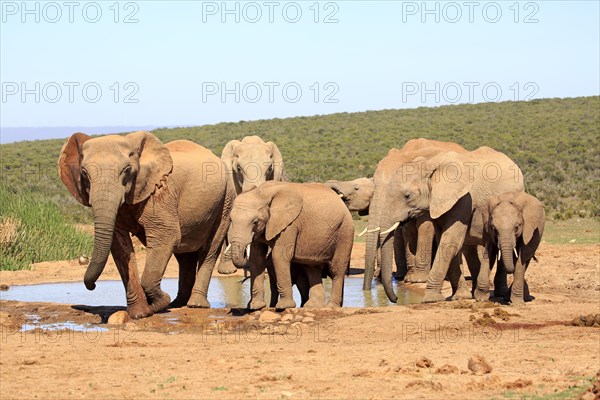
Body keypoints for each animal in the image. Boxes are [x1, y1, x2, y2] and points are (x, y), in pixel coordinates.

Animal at [57, 131, 233, 318]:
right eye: (84, 173)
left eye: (127, 170)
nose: (93, 286)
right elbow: (120, 246)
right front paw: (140, 314)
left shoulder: (160, 193)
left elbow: (166, 235)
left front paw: (158, 304)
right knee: (184, 255)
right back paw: (177, 303)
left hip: (226, 198)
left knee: (210, 248)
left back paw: (195, 305)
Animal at [227, 181, 354, 310]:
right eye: (231, 220)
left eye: (255, 221)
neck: (264, 192)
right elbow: (256, 258)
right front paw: (256, 307)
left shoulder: (290, 224)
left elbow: (279, 255)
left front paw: (283, 307)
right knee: (312, 267)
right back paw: (312, 306)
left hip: (345, 230)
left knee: (336, 268)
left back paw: (331, 307)